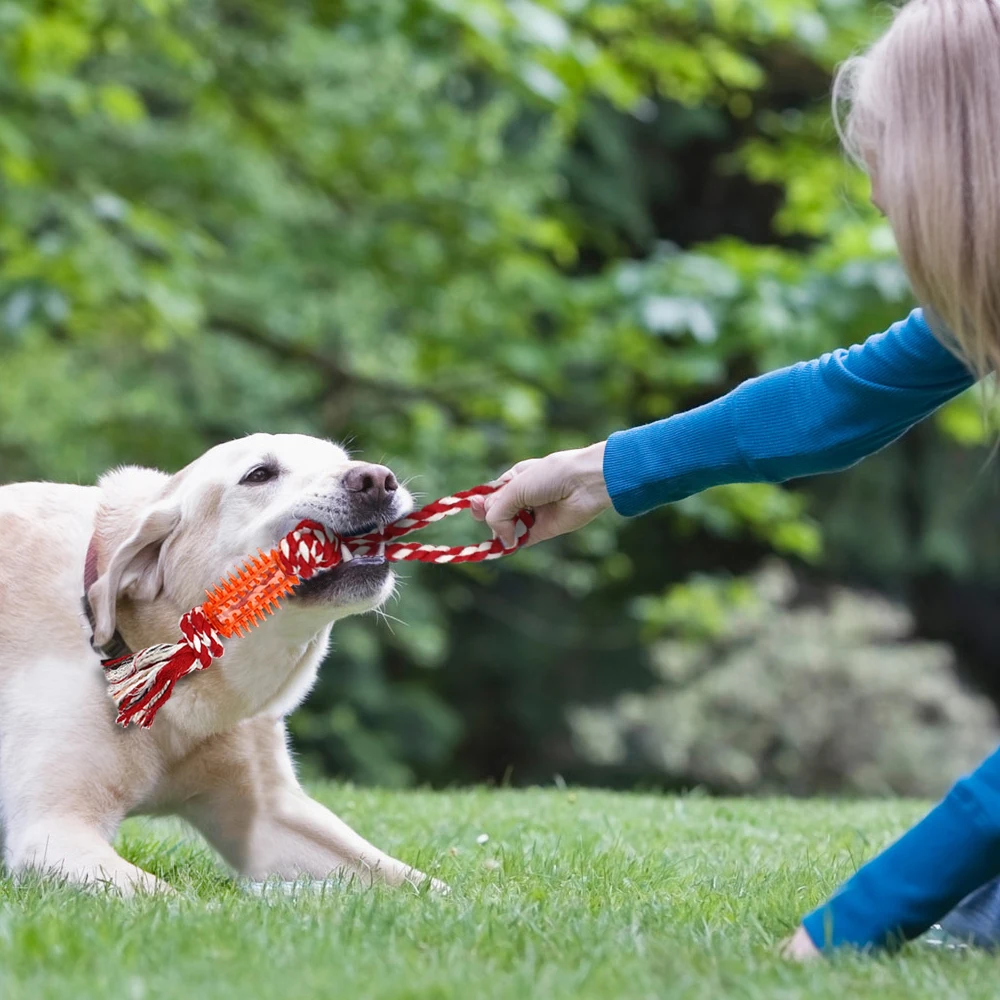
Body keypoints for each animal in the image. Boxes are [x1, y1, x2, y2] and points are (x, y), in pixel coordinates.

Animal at [0, 434, 434, 896]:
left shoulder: (271, 816)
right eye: (259, 474)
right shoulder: (52, 827)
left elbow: (415, 880)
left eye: (342, 459)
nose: (378, 480)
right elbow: (174, 898)